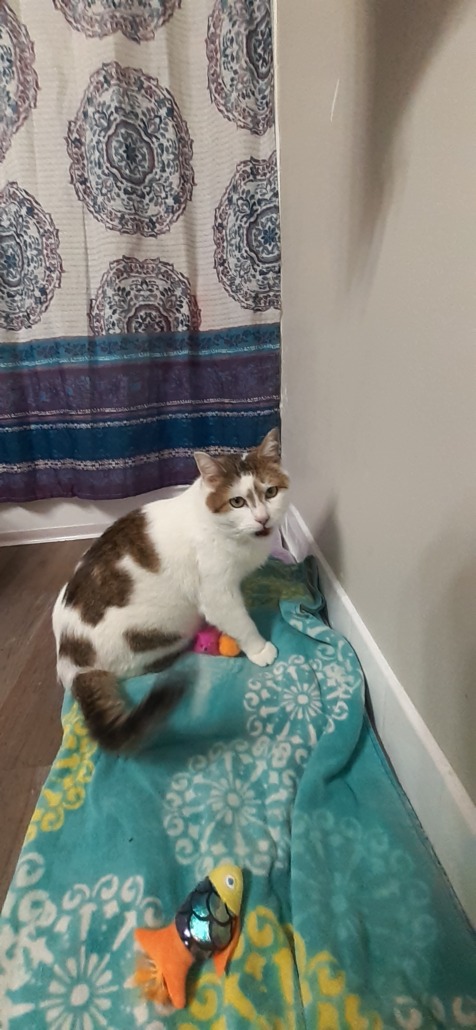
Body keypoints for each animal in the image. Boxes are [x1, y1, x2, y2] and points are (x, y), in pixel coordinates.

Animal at [53, 429, 290, 751]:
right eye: (238, 502)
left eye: (271, 492)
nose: (263, 518)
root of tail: (72, 662)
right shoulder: (217, 593)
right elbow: (241, 621)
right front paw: (259, 649)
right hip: (168, 627)